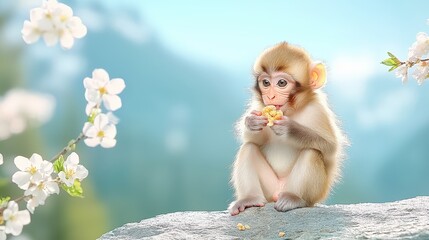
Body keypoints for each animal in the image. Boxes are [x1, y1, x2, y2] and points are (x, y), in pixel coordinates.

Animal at [227, 42, 344, 217]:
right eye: (266, 83)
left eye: (281, 83)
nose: (270, 96)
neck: (292, 110)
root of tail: (278, 192)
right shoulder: (260, 107)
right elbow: (252, 140)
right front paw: (252, 122)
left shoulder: (318, 111)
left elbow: (330, 148)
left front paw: (291, 129)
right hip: (269, 189)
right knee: (248, 148)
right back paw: (250, 199)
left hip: (314, 193)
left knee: (311, 152)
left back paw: (293, 198)